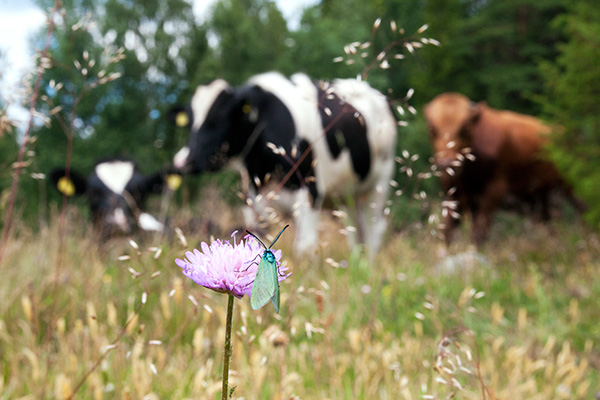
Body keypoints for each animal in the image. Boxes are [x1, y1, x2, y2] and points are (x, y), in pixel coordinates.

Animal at [173, 71, 398, 256]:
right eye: (189, 121)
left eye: (218, 119)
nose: (183, 160)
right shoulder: (251, 197)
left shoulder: (310, 191)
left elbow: (304, 247)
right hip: (350, 195)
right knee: (356, 232)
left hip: (379, 184)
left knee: (373, 230)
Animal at [424, 93, 584, 244]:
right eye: (432, 129)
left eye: (465, 128)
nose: (446, 163)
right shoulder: (454, 197)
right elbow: (447, 234)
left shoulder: (494, 193)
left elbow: (478, 233)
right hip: (542, 202)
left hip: (571, 192)